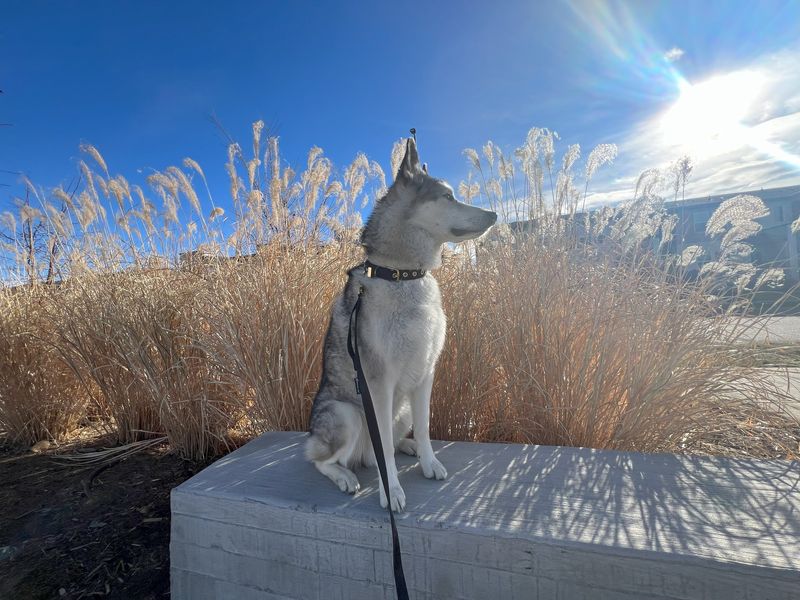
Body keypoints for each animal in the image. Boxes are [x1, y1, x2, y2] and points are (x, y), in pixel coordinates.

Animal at [305, 137, 497, 511]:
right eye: (447, 196)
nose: (495, 214)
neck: (402, 276)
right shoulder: (379, 383)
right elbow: (384, 457)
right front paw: (390, 490)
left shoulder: (426, 372)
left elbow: (424, 428)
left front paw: (428, 461)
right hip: (347, 414)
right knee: (322, 459)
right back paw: (345, 476)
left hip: (402, 407)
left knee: (385, 447)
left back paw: (406, 447)